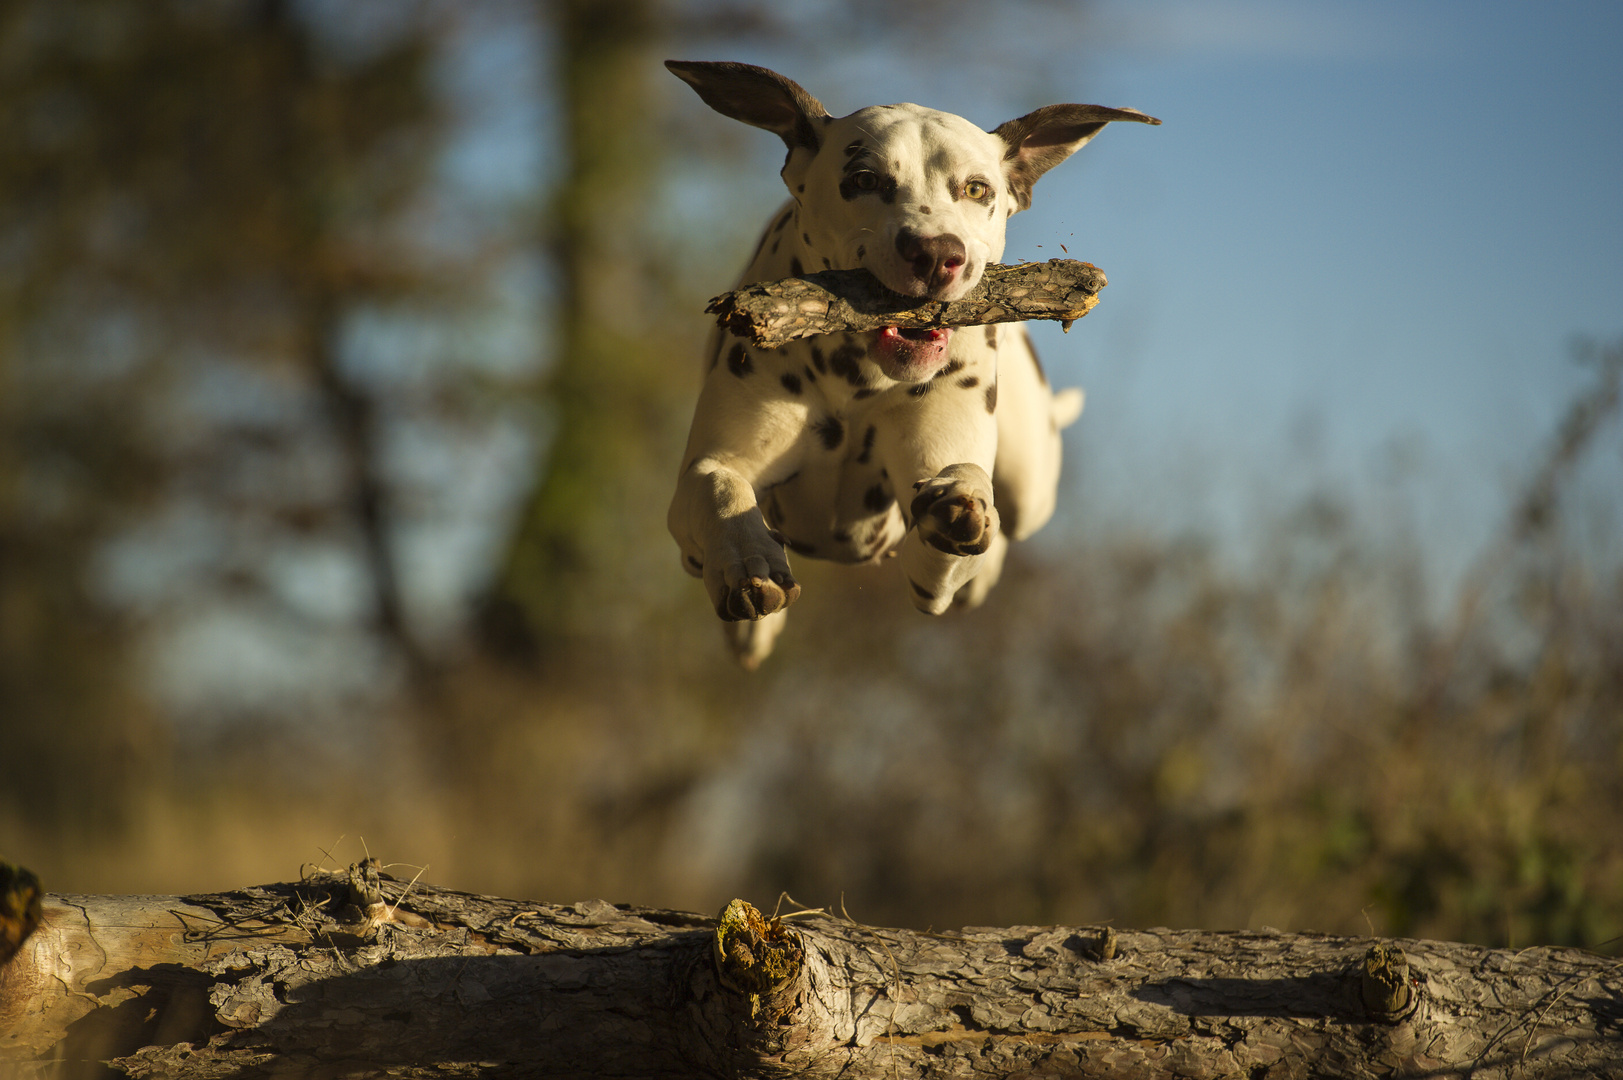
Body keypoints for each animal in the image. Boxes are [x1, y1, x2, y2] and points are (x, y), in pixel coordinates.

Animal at [662, 63, 1155, 665]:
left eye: (976, 189)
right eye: (864, 180)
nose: (937, 253)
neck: (860, 378)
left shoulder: (929, 546)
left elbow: (960, 495)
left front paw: (963, 504)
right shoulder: (704, 480)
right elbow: (718, 486)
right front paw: (745, 564)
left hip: (1031, 484)